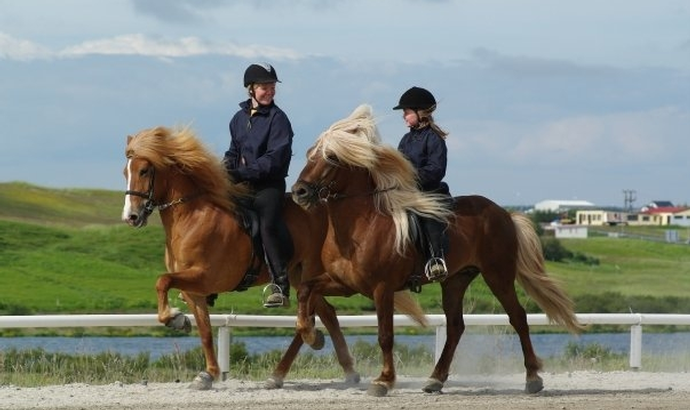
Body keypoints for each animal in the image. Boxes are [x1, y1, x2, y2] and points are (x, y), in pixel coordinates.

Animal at [288, 105, 584, 398]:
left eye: (331, 158)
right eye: (309, 153)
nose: (299, 192)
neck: (359, 225)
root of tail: (504, 214)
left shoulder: (382, 288)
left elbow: (385, 335)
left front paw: (384, 381)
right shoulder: (344, 283)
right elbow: (305, 290)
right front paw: (313, 336)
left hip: (497, 275)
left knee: (518, 317)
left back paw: (532, 378)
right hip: (455, 280)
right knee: (455, 327)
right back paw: (435, 379)